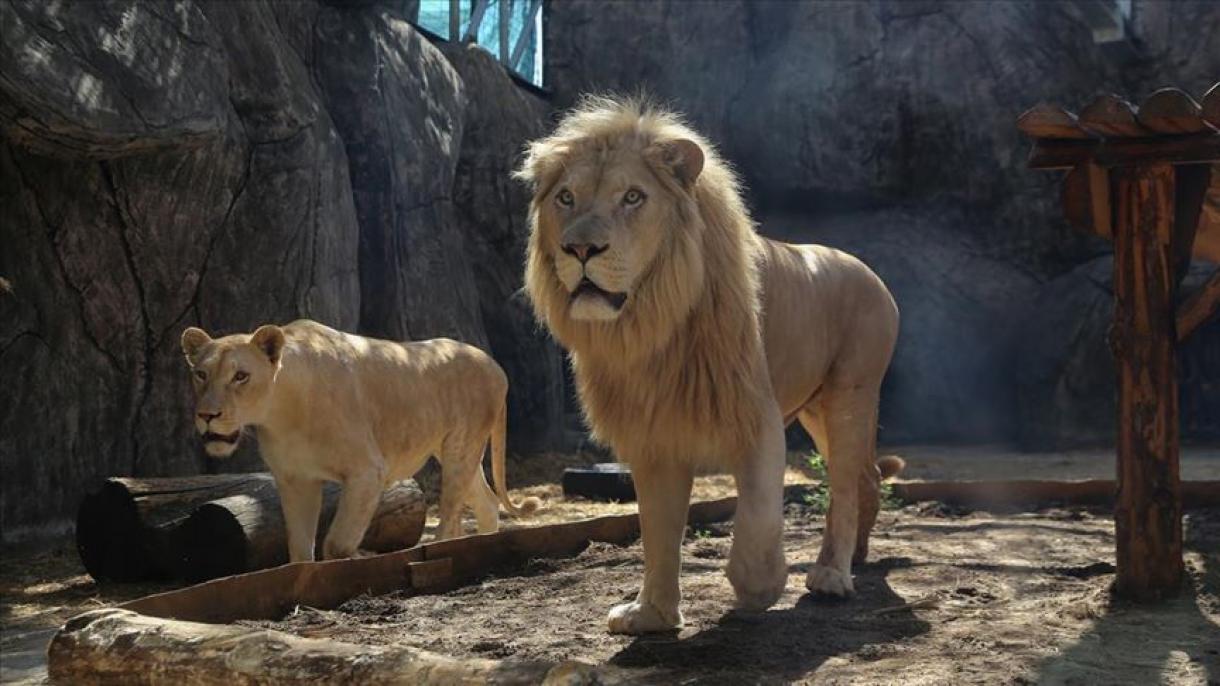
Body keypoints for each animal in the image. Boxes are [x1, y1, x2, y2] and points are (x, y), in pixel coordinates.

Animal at [178, 317, 539, 559]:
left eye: (241, 376)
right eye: (200, 374)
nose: (207, 415)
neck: (281, 414)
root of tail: (494, 364)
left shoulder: (368, 471)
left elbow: (336, 543)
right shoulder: (296, 480)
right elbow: (299, 549)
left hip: (459, 450)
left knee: (450, 519)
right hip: (457, 451)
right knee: (487, 502)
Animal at [519, 94, 902, 629]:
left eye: (633, 197)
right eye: (566, 198)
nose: (579, 248)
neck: (653, 324)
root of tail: (866, 268)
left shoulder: (756, 418)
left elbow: (756, 521)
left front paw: (759, 588)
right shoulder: (653, 434)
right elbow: (658, 533)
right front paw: (651, 613)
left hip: (851, 393)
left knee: (845, 484)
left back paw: (831, 574)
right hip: (815, 409)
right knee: (867, 475)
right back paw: (858, 558)